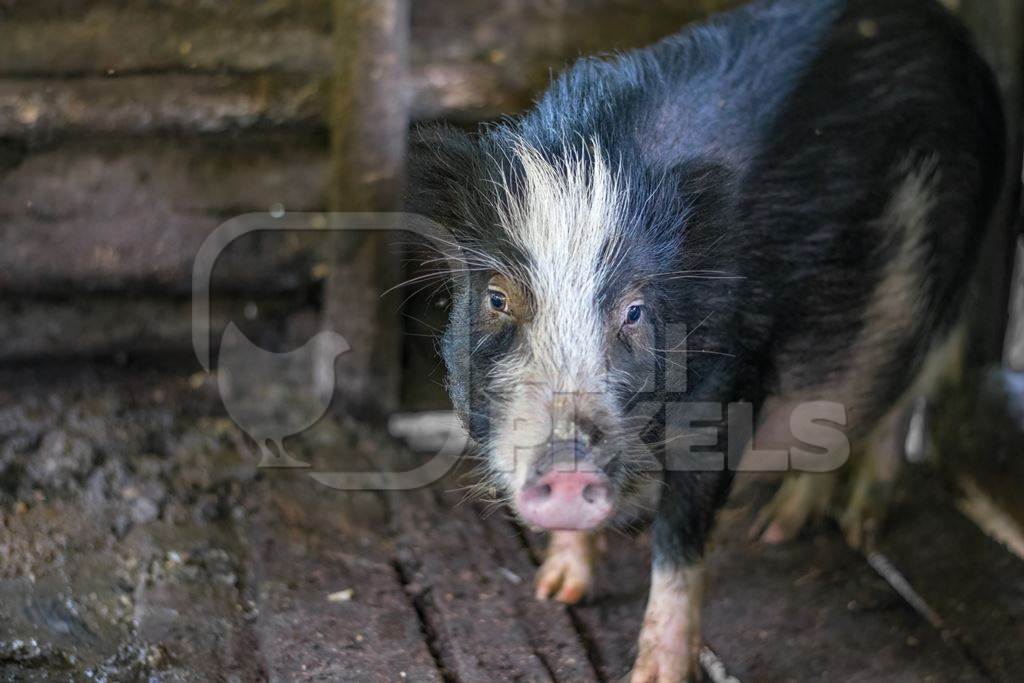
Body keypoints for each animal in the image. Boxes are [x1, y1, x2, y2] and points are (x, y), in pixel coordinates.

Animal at [405, 0, 999, 679]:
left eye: (636, 311)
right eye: (498, 298)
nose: (567, 467)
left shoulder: (729, 387)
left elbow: (680, 535)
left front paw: (655, 673)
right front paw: (556, 592)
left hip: (947, 272)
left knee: (903, 390)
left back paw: (854, 528)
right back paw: (779, 528)